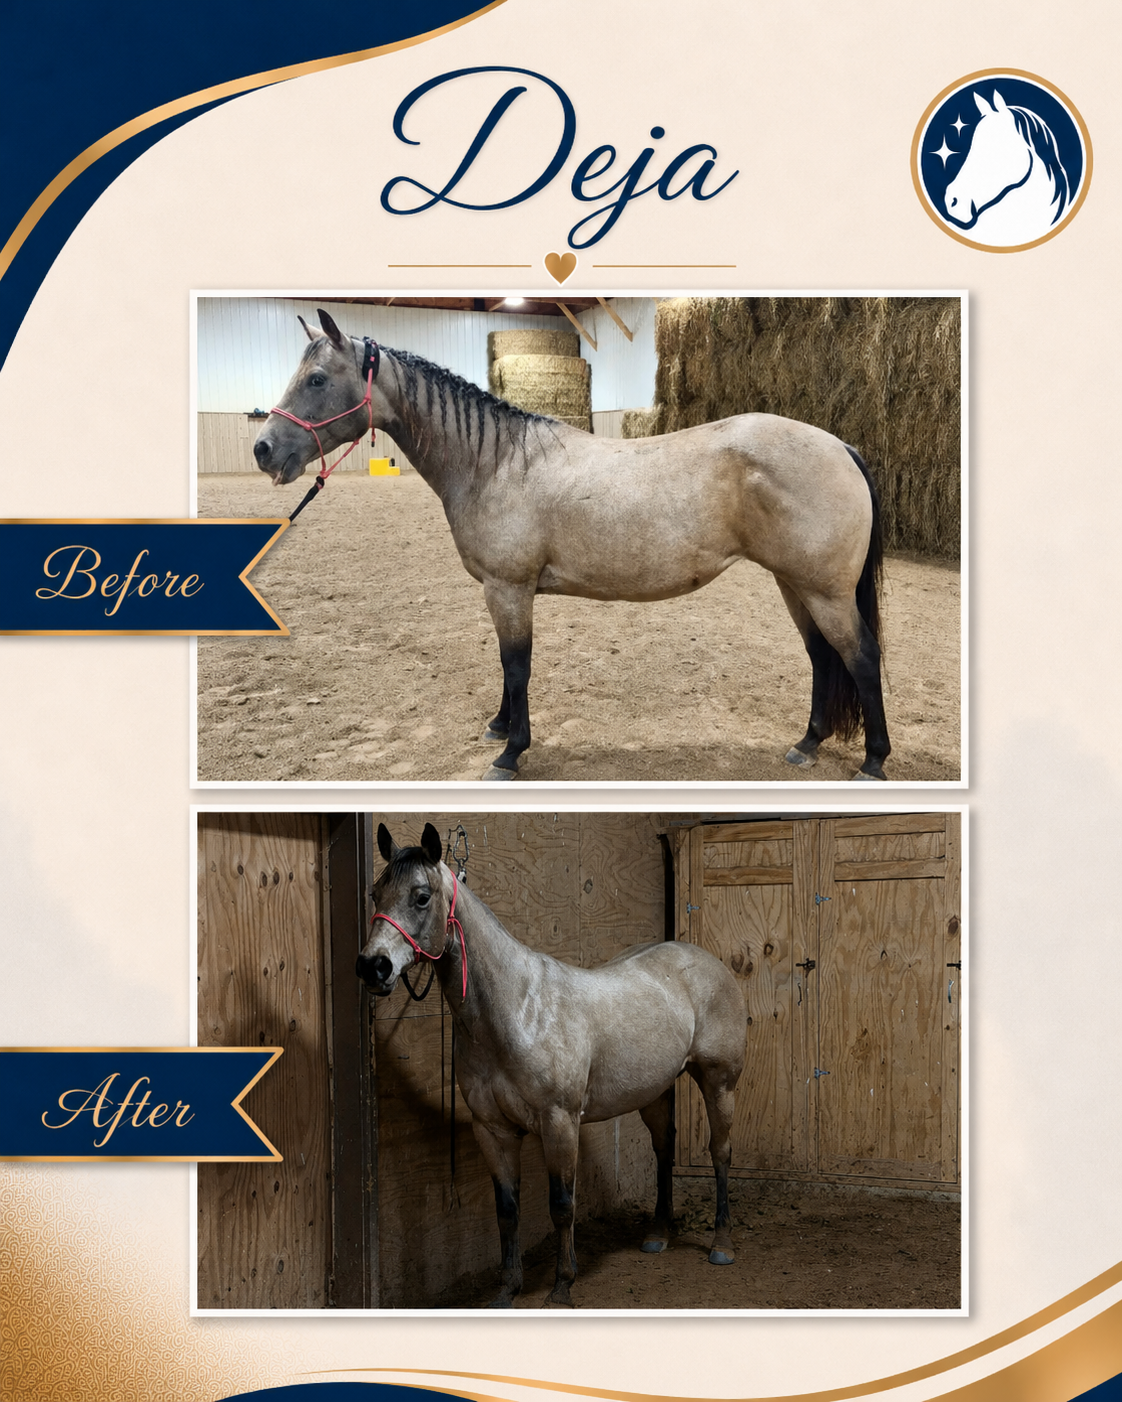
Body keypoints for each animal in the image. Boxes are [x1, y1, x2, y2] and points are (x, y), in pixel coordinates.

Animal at [253, 309, 891, 781]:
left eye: (316, 379)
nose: (264, 449)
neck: (496, 462)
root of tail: (839, 446)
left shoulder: (509, 590)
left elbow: (517, 666)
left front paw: (511, 752)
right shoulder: (502, 593)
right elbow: (506, 664)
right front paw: (499, 726)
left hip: (825, 591)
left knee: (860, 656)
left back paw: (873, 761)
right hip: (795, 584)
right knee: (821, 656)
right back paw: (807, 743)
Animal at [355, 822, 746, 1308]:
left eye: (421, 896)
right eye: (375, 893)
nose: (372, 966)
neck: (517, 1010)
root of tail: (710, 962)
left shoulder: (559, 1122)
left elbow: (562, 1206)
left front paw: (561, 1287)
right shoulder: (493, 1130)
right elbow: (507, 1211)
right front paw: (507, 1289)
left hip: (720, 1082)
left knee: (721, 1152)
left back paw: (721, 1244)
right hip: (655, 1089)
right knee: (663, 1147)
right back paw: (657, 1235)